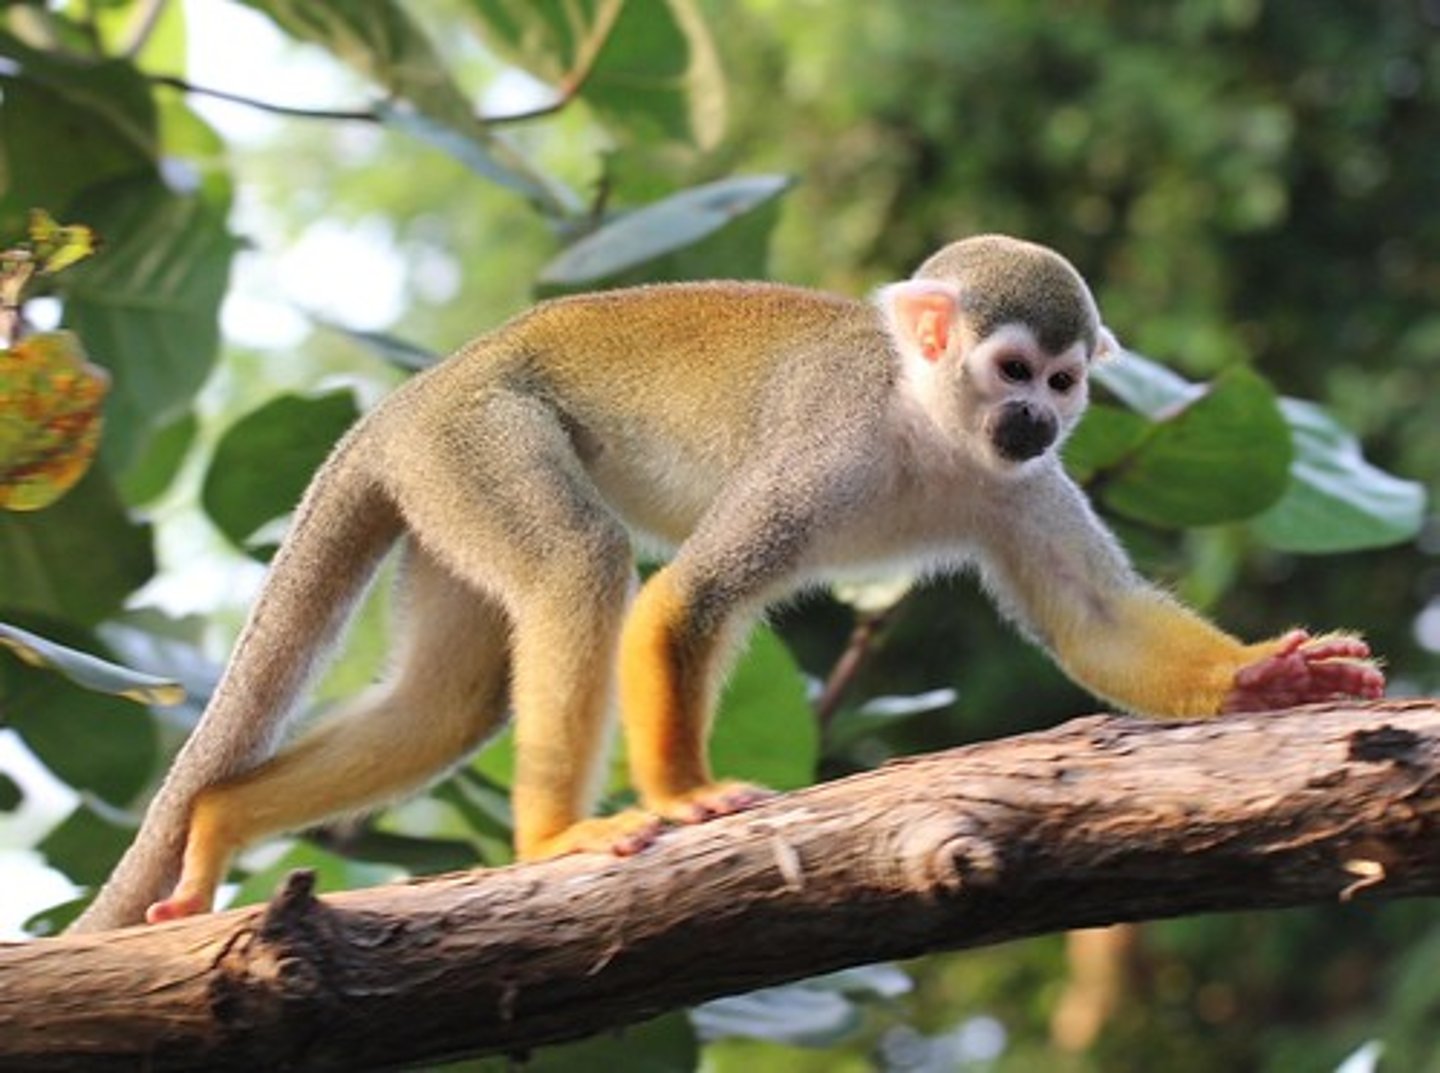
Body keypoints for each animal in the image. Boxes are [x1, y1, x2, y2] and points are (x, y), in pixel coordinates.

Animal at [69, 235, 1385, 932]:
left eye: (1064, 384)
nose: (1034, 418)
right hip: (480, 440)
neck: (929, 431)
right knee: (578, 564)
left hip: (439, 491)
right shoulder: (830, 448)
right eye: (1014, 368)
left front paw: (1266, 680)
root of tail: (405, 399)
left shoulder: (1022, 484)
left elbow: (1096, 619)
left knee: (446, 704)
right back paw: (551, 835)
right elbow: (685, 601)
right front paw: (690, 794)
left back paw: (220, 817)